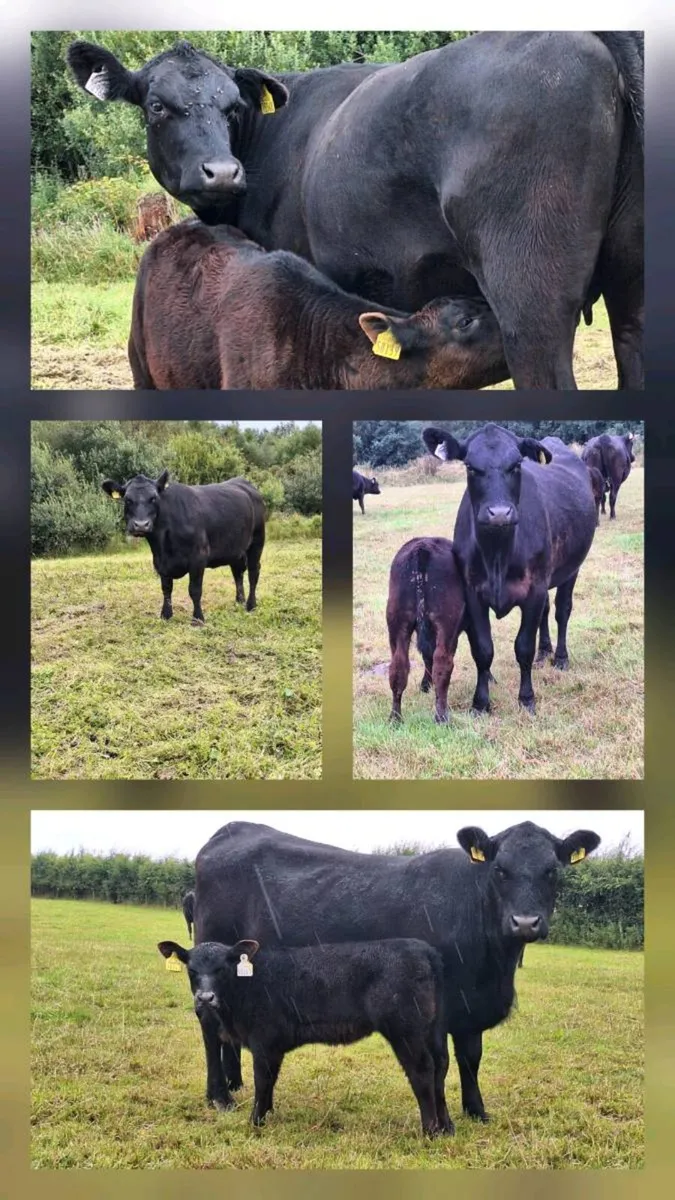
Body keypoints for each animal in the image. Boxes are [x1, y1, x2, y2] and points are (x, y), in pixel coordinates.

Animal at [101, 471, 265, 623]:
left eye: (153, 498)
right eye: (127, 500)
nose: (141, 525)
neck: (163, 543)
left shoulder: (198, 557)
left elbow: (195, 590)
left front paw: (198, 619)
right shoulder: (160, 562)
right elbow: (166, 588)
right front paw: (166, 615)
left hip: (257, 541)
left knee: (253, 573)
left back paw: (251, 605)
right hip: (236, 549)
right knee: (237, 572)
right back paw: (239, 601)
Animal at [157, 936, 451, 1136]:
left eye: (222, 968)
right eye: (191, 970)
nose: (205, 998)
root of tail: (423, 949)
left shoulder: (263, 1041)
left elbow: (262, 1081)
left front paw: (255, 1122)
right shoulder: (273, 1047)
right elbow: (270, 1081)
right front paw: (267, 1113)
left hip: (406, 1029)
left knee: (422, 1070)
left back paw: (429, 1130)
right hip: (433, 1029)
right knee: (440, 1067)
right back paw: (446, 1127)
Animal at [191, 819, 601, 1121]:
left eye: (551, 871)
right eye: (500, 870)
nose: (525, 922)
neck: (493, 970)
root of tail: (228, 831)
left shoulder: (469, 1010)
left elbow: (471, 1058)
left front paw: (477, 1112)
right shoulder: (440, 1009)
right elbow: (441, 1064)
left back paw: (235, 1083)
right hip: (209, 961)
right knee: (210, 1028)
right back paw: (219, 1096)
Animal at [386, 537, 465, 724]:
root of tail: (422, 547)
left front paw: (424, 685)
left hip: (397, 623)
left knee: (398, 667)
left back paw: (395, 719)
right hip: (447, 625)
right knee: (442, 664)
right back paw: (442, 717)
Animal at [422, 425, 597, 714]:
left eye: (516, 465)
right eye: (470, 466)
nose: (500, 513)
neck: (497, 554)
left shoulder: (534, 589)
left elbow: (523, 647)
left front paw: (526, 699)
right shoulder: (473, 592)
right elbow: (483, 649)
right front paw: (480, 703)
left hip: (571, 570)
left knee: (562, 611)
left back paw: (560, 657)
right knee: (547, 612)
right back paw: (545, 652)